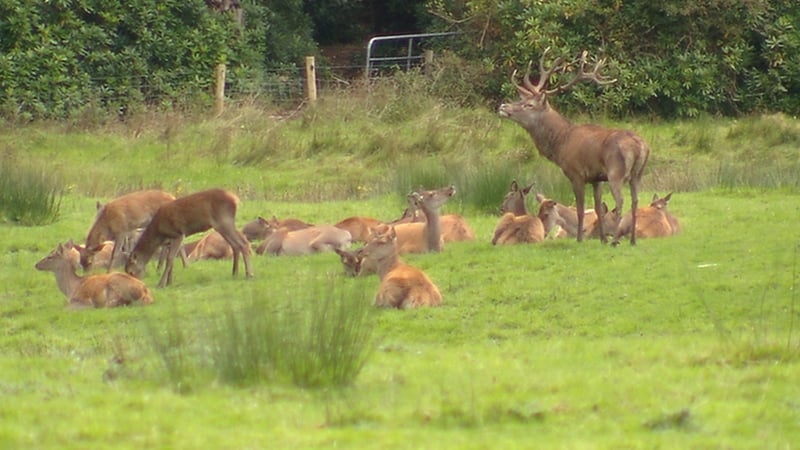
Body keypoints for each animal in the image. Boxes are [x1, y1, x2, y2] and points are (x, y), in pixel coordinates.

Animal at [125, 188, 253, 288]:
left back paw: (249, 274)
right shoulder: (169, 240)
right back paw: (235, 273)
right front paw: (169, 282)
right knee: (235, 245)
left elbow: (170, 259)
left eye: (131, 272)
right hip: (221, 225)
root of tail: (235, 198)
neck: (158, 231)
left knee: (242, 243)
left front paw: (161, 284)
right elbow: (170, 260)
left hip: (224, 220)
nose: (137, 284)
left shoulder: (178, 234)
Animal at [498, 48, 650, 245]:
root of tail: (640, 146)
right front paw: (602, 239)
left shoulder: (576, 173)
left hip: (616, 172)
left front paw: (580, 238)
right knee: (635, 200)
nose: (503, 106)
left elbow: (580, 208)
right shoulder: (596, 178)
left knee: (621, 201)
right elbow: (598, 207)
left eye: (528, 105)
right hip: (637, 173)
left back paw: (616, 240)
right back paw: (631, 240)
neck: (560, 144)